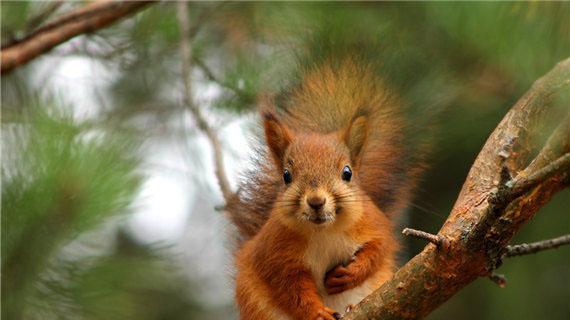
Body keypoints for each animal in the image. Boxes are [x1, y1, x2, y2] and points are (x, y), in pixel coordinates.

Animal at [226, 58, 422, 320]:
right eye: (286, 176)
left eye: (347, 173)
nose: (316, 201)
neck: (324, 231)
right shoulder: (275, 255)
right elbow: (292, 289)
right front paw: (317, 312)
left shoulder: (373, 223)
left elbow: (379, 250)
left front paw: (351, 273)